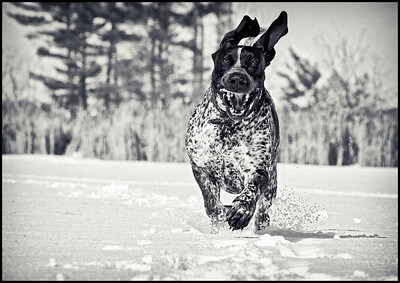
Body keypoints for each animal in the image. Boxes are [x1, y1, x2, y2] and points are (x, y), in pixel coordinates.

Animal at [184, 11, 288, 233]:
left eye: (253, 62)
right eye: (225, 60)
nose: (237, 79)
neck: (228, 126)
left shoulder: (258, 170)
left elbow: (251, 191)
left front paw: (241, 212)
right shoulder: (200, 166)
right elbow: (211, 202)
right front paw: (219, 215)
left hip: (272, 184)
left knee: (263, 209)